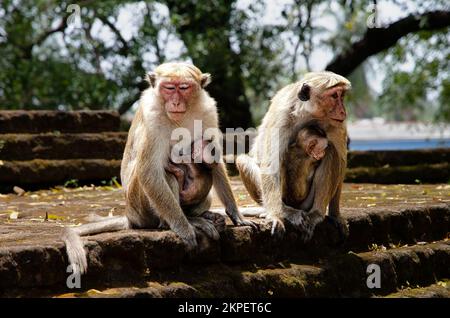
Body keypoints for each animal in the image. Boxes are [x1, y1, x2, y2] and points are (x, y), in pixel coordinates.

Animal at [61, 62, 255, 274]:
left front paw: (235, 214)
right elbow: (149, 171)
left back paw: (201, 216)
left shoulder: (209, 112)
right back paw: (186, 222)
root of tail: (131, 216)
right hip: (142, 205)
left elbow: (215, 162)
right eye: (169, 88)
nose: (176, 103)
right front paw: (184, 228)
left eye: (184, 88)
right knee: (165, 176)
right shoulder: (152, 117)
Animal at [237, 71, 350, 241]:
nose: (343, 111)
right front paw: (275, 216)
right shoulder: (282, 116)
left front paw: (335, 215)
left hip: (306, 203)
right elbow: (270, 165)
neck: (307, 113)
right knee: (243, 160)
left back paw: (316, 213)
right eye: (334, 96)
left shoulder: (335, 123)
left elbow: (341, 160)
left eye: (342, 95)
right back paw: (284, 211)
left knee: (331, 152)